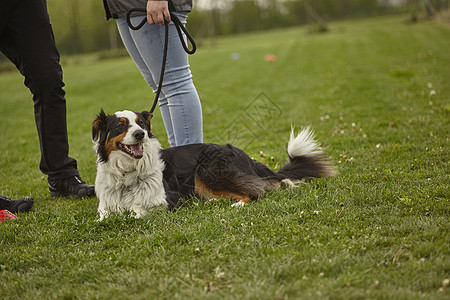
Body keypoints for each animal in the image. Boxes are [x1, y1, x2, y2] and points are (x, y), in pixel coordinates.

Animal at [91, 109, 334, 219]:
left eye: (140, 123)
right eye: (120, 126)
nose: (140, 134)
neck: (127, 173)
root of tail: (245, 156)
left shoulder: (167, 199)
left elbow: (136, 209)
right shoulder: (106, 204)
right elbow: (103, 216)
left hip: (208, 171)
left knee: (255, 193)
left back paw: (236, 204)